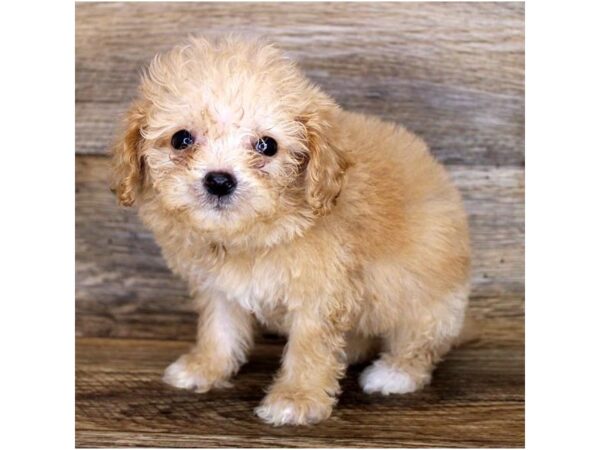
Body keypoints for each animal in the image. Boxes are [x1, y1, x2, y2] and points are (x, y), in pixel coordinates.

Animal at [111, 36, 468, 426]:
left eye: (267, 145)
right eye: (181, 139)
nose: (219, 181)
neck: (252, 234)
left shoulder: (320, 295)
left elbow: (310, 349)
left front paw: (296, 398)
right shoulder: (219, 287)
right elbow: (219, 330)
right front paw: (204, 368)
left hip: (429, 296)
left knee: (420, 341)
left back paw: (394, 373)